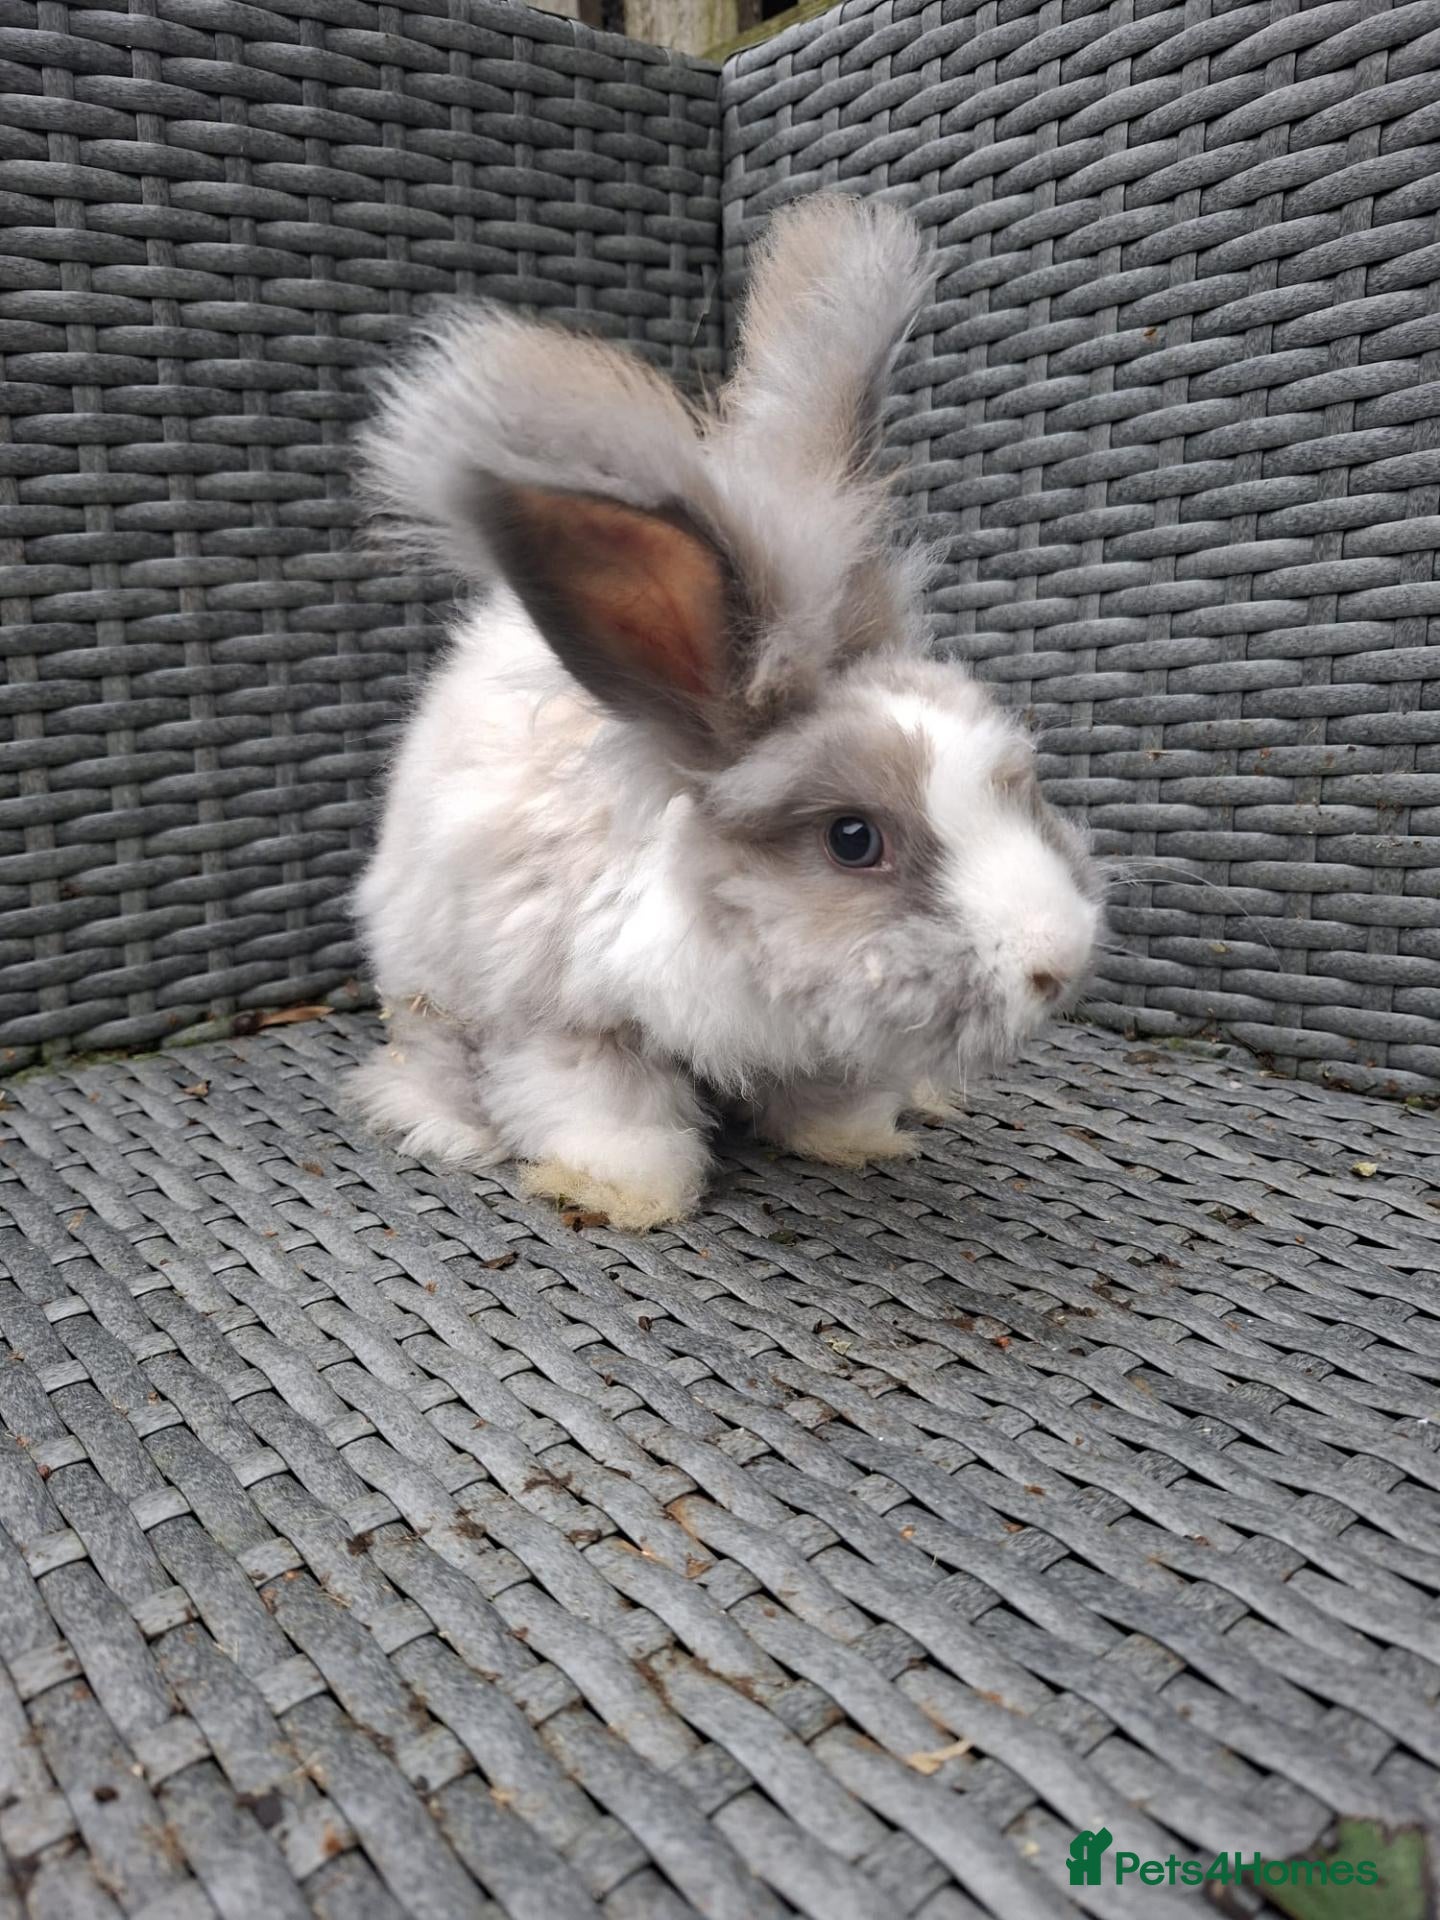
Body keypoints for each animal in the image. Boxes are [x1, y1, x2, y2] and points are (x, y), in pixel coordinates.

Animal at [349, 193, 1103, 1227]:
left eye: (1015, 785)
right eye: (852, 839)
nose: (1060, 962)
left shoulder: (823, 1044)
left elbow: (830, 1097)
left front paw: (858, 1143)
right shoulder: (563, 1019)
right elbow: (602, 1108)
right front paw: (623, 1192)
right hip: (424, 983)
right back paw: (446, 1128)